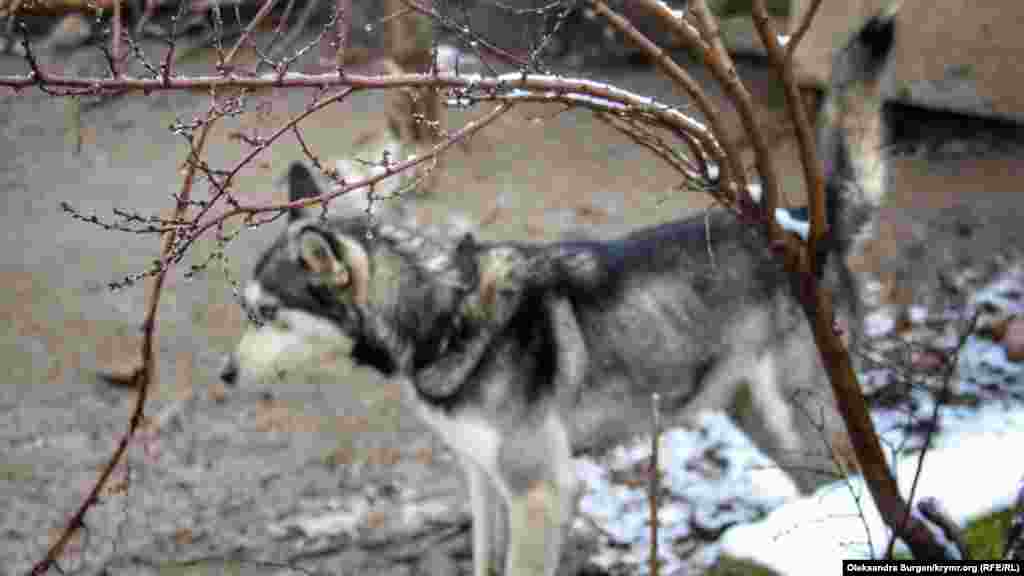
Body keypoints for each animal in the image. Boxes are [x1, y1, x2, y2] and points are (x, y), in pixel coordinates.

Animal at [222, 10, 897, 573]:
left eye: (267, 315)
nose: (225, 376)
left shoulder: (541, 493)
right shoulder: (484, 483)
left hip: (798, 412)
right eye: (250, 311)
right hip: (759, 418)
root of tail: (802, 222)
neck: (445, 315)